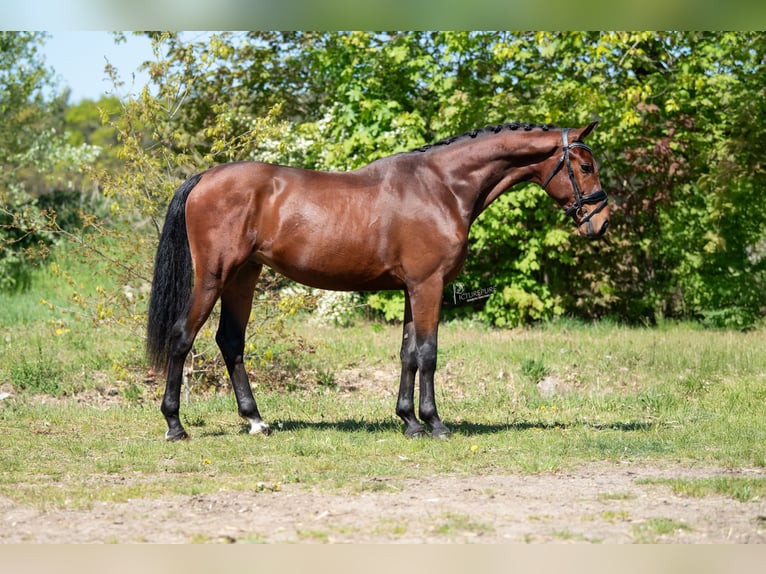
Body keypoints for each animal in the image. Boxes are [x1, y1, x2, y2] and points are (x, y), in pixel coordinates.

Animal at [146, 121, 610, 441]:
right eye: (586, 166)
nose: (601, 222)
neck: (441, 187)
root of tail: (205, 178)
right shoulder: (428, 285)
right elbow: (428, 354)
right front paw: (434, 423)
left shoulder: (411, 289)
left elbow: (408, 354)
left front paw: (409, 420)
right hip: (214, 276)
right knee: (182, 337)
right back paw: (175, 425)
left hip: (244, 276)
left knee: (231, 341)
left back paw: (256, 421)